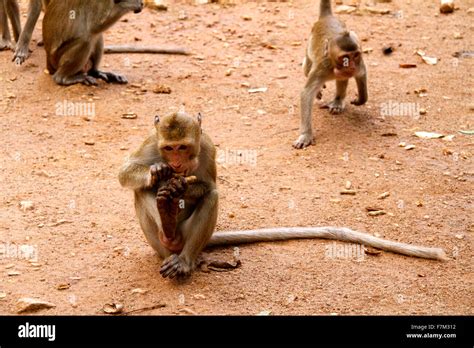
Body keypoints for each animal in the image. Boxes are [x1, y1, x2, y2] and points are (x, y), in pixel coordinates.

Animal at [119, 111, 448, 280]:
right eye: (169, 148)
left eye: (183, 147)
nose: (175, 164)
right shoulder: (150, 143)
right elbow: (125, 174)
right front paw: (159, 173)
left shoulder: (208, 147)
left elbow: (210, 185)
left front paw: (181, 186)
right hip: (159, 245)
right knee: (141, 192)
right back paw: (167, 227)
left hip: (192, 238)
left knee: (212, 196)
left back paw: (183, 255)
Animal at [292, 0, 370, 148]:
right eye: (345, 57)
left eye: (355, 55)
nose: (351, 65)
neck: (334, 66)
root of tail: (327, 17)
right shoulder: (322, 66)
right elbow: (307, 93)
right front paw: (306, 135)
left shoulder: (359, 62)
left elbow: (361, 74)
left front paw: (360, 99)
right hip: (310, 48)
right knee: (306, 68)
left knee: (343, 78)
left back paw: (338, 101)